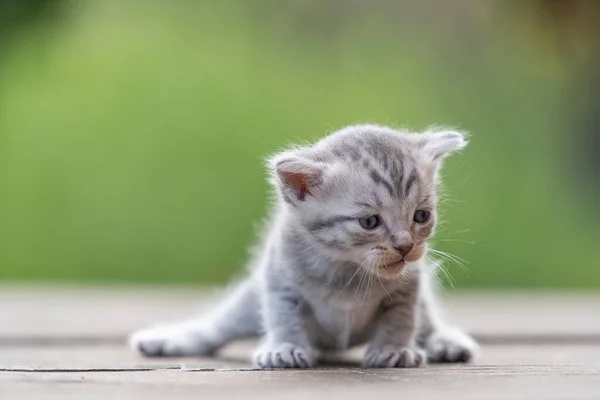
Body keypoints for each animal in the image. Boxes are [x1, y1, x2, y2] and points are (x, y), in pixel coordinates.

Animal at [130, 125, 478, 368]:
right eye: (369, 222)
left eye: (421, 216)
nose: (406, 246)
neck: (348, 270)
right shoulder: (279, 277)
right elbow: (283, 315)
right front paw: (285, 347)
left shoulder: (408, 286)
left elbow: (401, 318)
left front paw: (394, 349)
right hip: (247, 304)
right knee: (217, 326)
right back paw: (170, 339)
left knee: (428, 321)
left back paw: (444, 342)